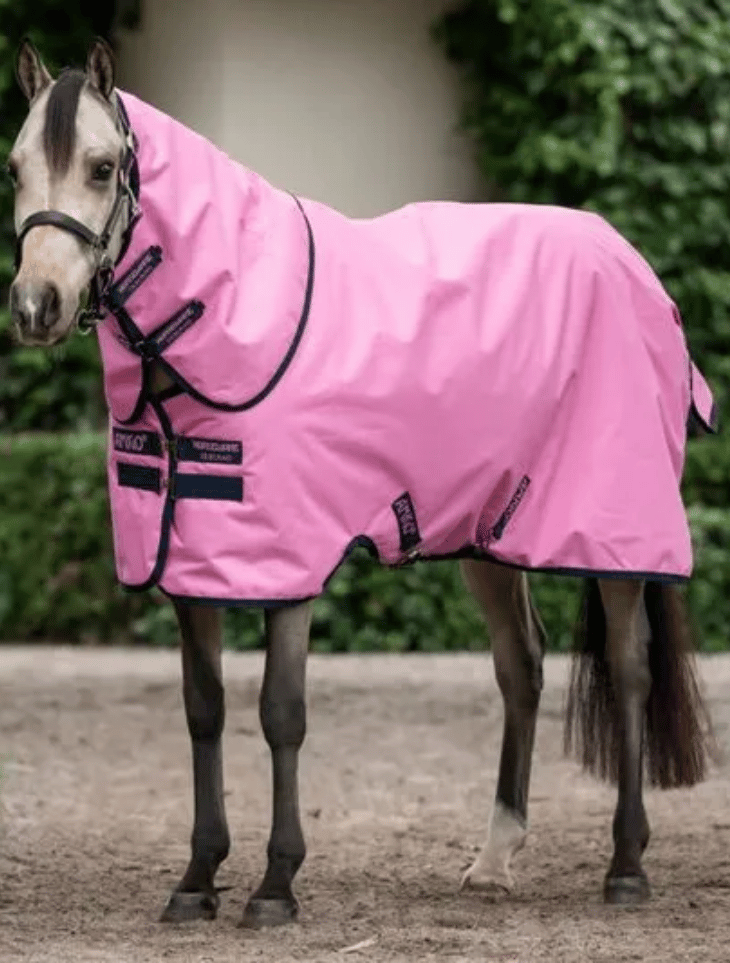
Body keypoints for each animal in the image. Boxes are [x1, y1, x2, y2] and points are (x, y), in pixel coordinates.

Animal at [6, 37, 714, 927]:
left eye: (102, 168)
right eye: (14, 167)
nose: (36, 305)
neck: (230, 319)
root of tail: (630, 260)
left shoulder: (288, 560)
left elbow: (281, 711)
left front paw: (276, 884)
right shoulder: (192, 563)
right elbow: (204, 709)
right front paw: (198, 877)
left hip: (615, 536)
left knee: (629, 669)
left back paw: (626, 864)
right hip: (487, 533)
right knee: (522, 666)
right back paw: (494, 858)